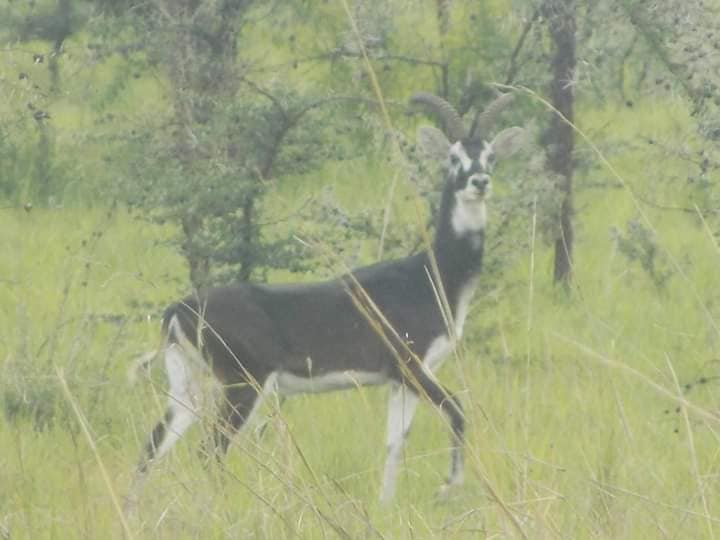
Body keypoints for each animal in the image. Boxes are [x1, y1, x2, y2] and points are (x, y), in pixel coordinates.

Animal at [131, 92, 524, 502]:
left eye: (490, 156)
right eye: (453, 157)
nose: (479, 181)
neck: (431, 276)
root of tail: (178, 308)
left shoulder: (398, 381)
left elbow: (394, 443)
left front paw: (385, 505)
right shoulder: (412, 367)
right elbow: (458, 410)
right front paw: (447, 487)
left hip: (187, 388)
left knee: (152, 446)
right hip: (243, 385)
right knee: (210, 449)